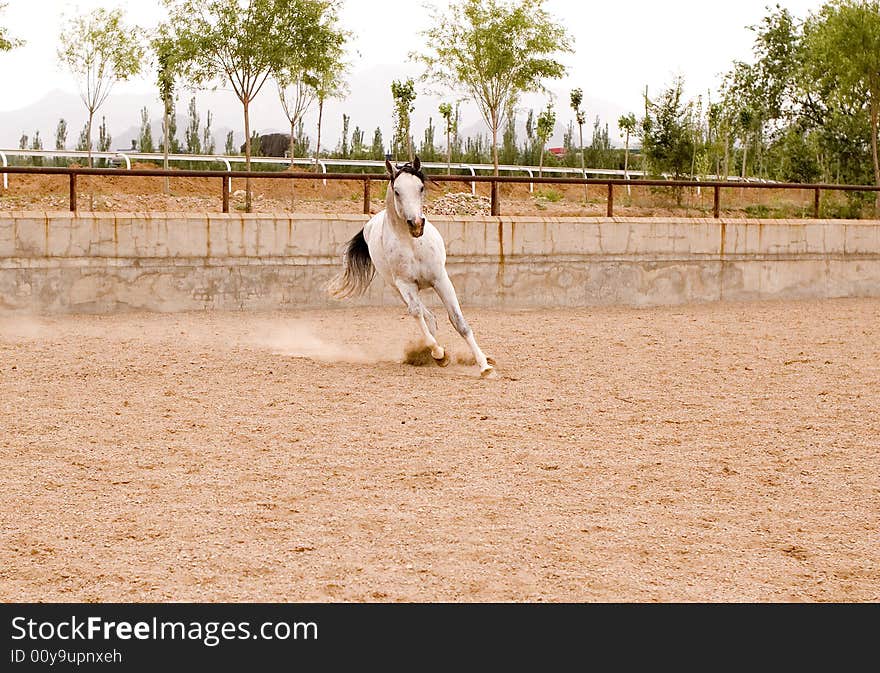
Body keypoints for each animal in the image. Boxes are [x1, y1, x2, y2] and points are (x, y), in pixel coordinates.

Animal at [328, 158, 496, 378]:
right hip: (397, 288)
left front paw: (484, 366)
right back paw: (433, 355)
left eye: (421, 188)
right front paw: (439, 354)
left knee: (431, 317)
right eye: (397, 191)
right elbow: (416, 313)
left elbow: (458, 321)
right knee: (427, 316)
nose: (416, 224)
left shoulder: (440, 279)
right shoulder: (405, 284)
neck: (412, 244)